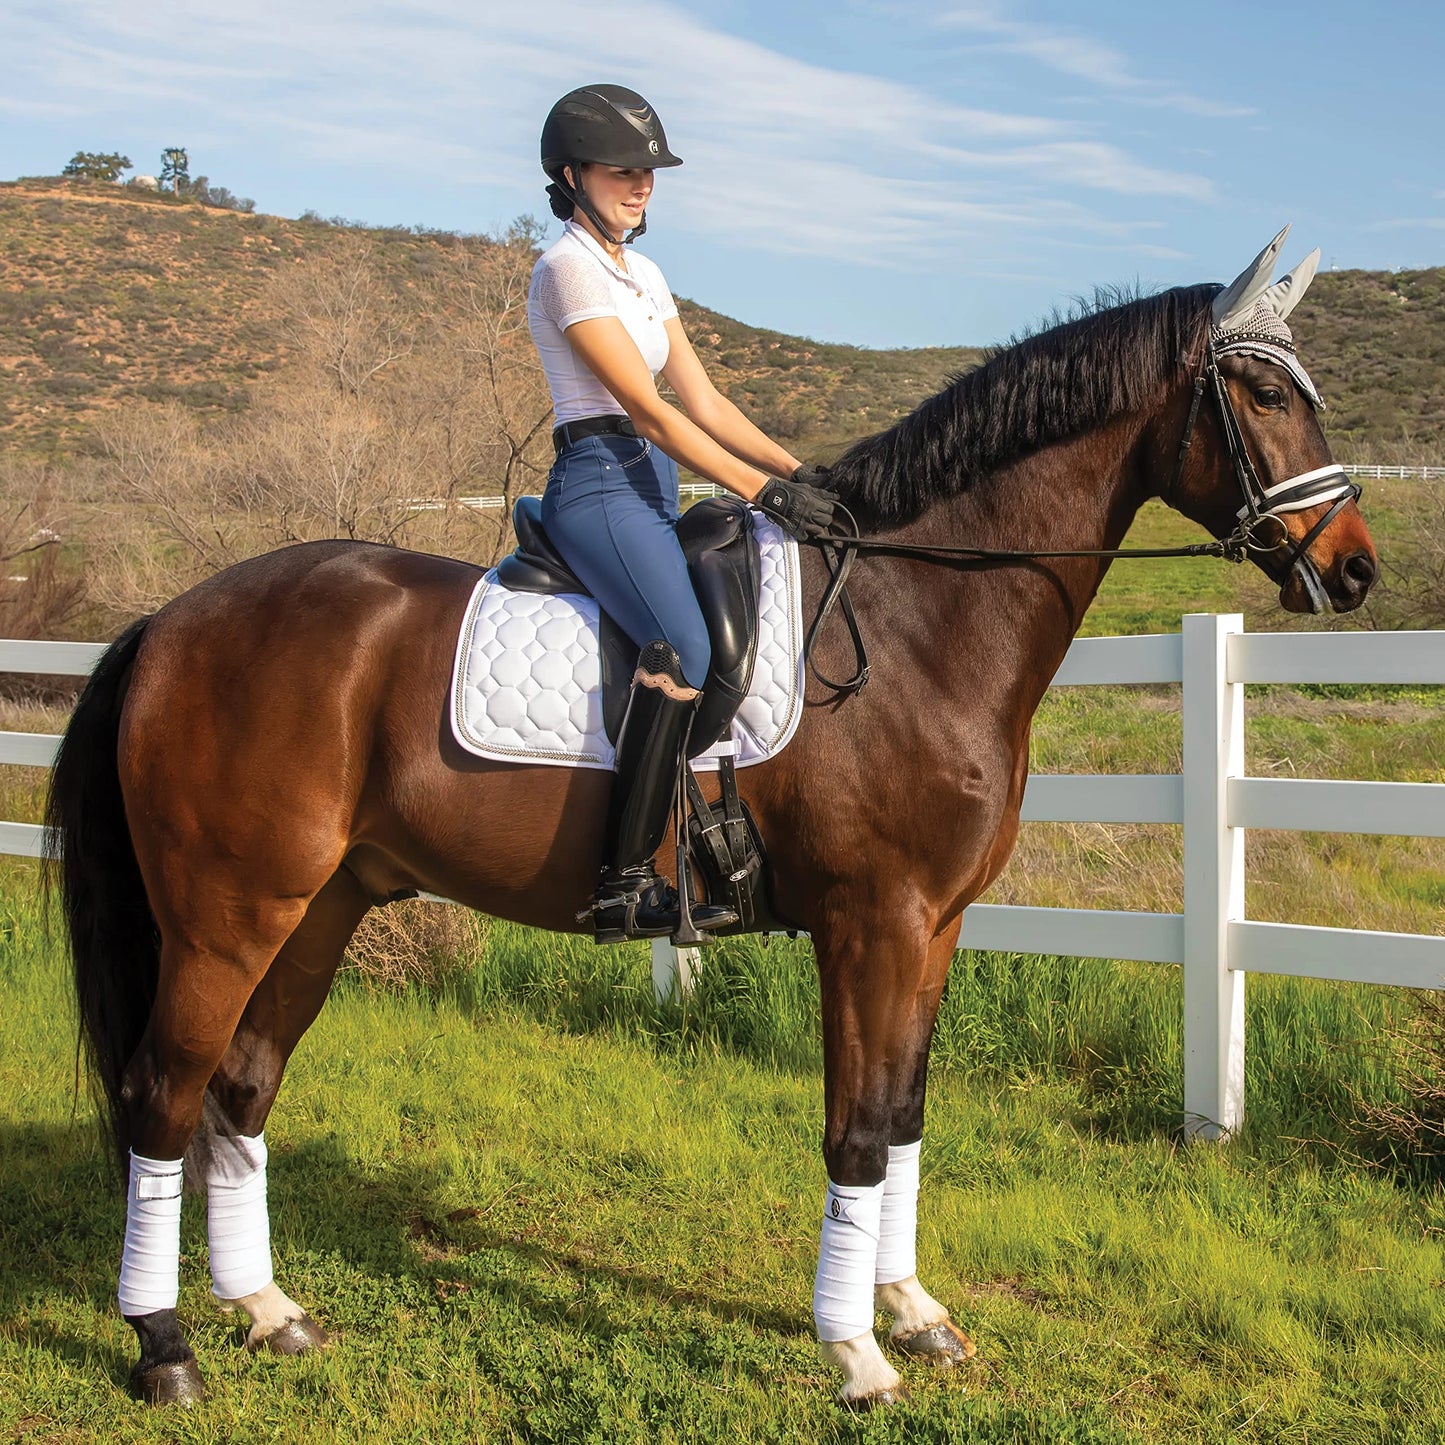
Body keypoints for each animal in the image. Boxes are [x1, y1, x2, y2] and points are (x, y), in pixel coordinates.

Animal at [46, 231, 1377, 1409]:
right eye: (1262, 392)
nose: (1354, 567)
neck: (917, 619)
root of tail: (173, 618)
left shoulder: (936, 925)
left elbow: (902, 1117)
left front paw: (913, 1311)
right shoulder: (870, 923)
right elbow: (853, 1132)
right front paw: (855, 1356)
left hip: (320, 903)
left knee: (238, 1089)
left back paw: (267, 1310)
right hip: (228, 912)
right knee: (163, 1092)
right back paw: (165, 1346)